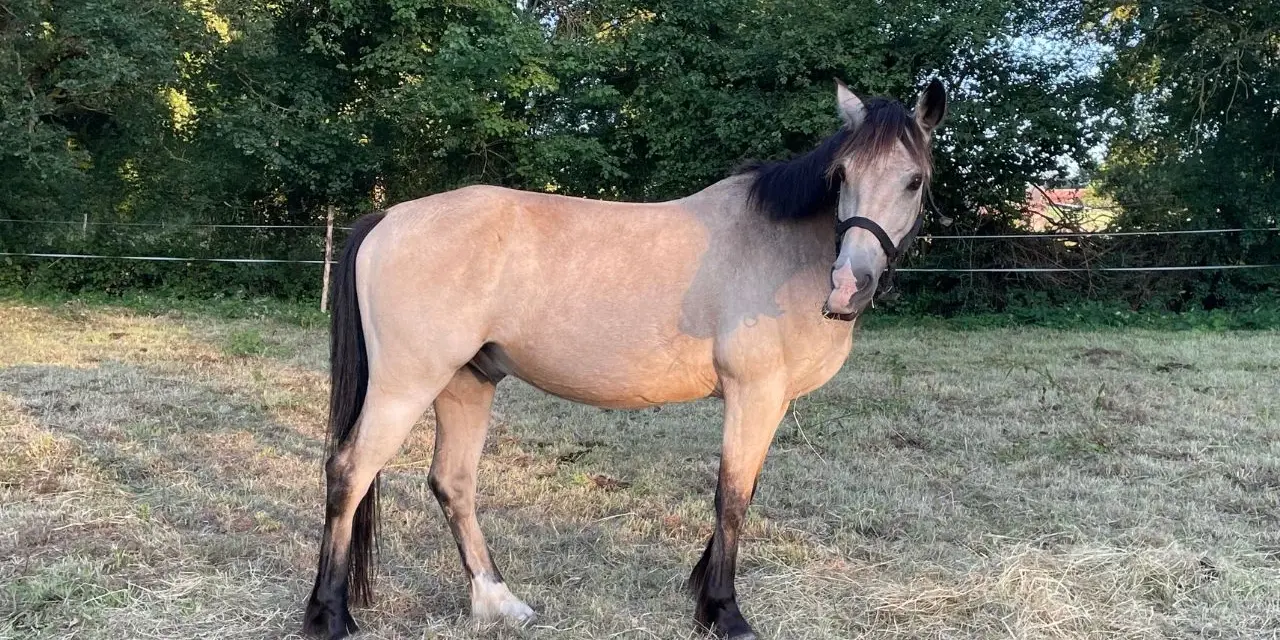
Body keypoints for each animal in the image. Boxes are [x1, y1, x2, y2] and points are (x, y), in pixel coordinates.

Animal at [303, 79, 947, 640]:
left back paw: (498, 602)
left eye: (913, 181)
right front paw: (725, 614)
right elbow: (732, 497)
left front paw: (704, 599)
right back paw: (329, 616)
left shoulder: (767, 401)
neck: (781, 246)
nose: (848, 286)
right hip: (406, 385)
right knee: (349, 472)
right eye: (841, 175)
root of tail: (389, 217)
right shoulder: (754, 393)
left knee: (452, 482)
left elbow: (743, 489)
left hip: (467, 382)